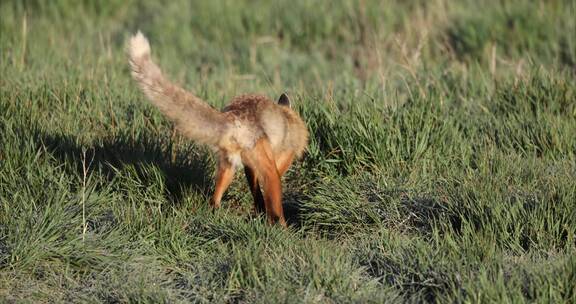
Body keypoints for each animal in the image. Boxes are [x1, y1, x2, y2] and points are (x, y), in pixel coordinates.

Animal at [128, 32, 308, 227]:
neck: (289, 118)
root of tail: (233, 115)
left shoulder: (249, 166)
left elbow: (256, 190)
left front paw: (258, 207)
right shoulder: (282, 157)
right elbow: (271, 183)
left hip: (227, 166)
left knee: (214, 199)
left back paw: (214, 215)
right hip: (268, 173)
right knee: (275, 208)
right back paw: (282, 228)